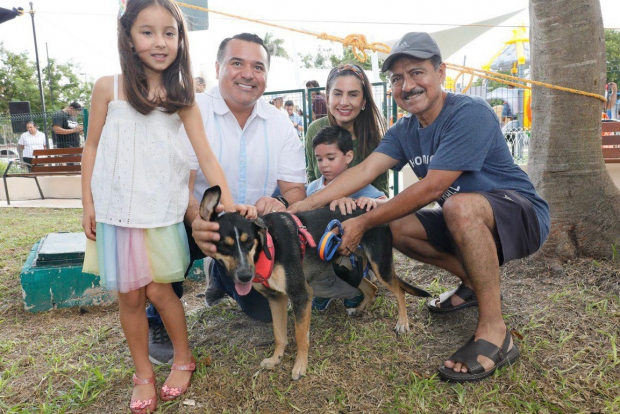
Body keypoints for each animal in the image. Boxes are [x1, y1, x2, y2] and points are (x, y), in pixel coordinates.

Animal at [201, 186, 428, 380]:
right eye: (224, 245)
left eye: (249, 242)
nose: (245, 276)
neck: (267, 246)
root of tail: (373, 207)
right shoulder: (276, 298)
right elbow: (279, 334)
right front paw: (276, 359)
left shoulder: (301, 294)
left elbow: (300, 336)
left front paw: (300, 367)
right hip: (345, 268)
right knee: (371, 288)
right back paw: (359, 309)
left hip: (379, 265)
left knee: (398, 291)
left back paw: (402, 323)